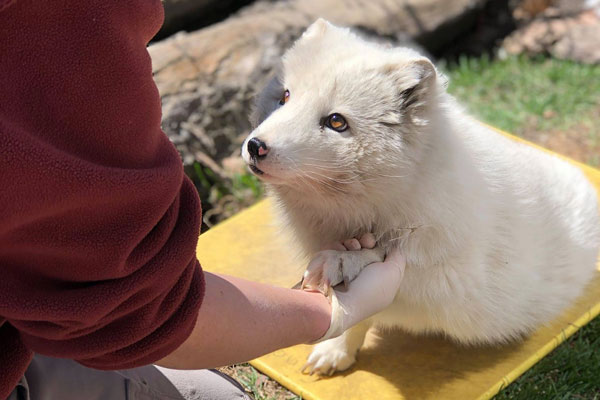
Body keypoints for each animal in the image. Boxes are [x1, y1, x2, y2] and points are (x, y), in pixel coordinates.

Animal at [240, 18, 600, 376]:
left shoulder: (451, 280)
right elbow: (359, 314)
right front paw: (337, 349)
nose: (256, 146)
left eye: (336, 122)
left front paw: (341, 262)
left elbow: (387, 259)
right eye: (285, 96)